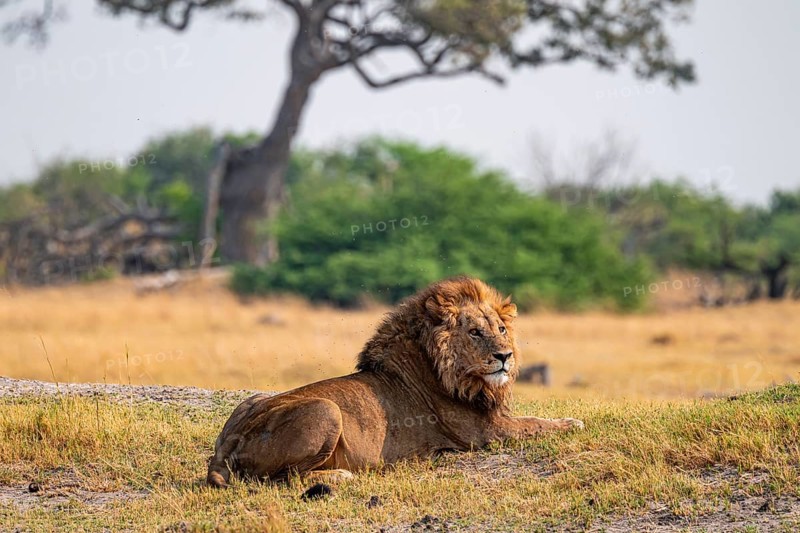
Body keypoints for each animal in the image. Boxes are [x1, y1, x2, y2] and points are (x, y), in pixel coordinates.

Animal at [207, 276, 583, 487]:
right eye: (475, 332)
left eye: (502, 329)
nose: (505, 355)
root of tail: (227, 443)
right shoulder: (486, 433)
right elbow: (538, 423)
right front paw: (574, 422)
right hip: (326, 410)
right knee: (278, 479)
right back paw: (339, 476)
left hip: (251, 400)